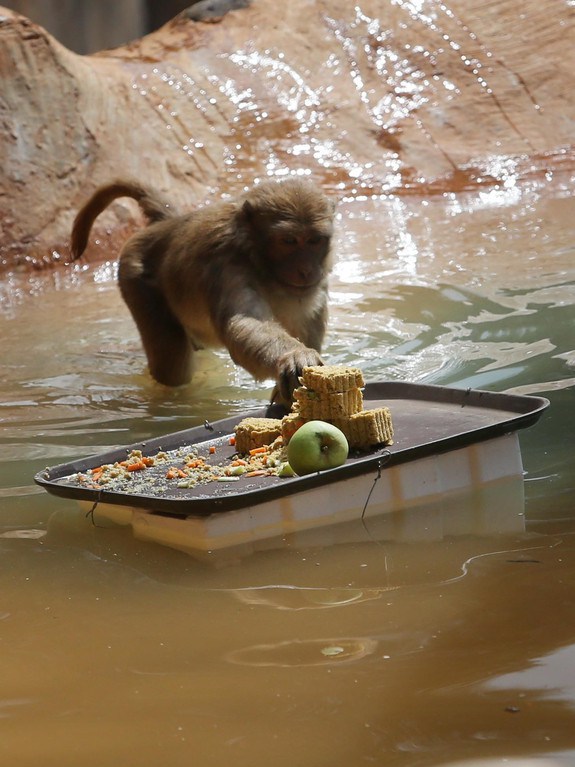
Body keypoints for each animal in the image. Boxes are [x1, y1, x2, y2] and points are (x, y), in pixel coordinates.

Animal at [70, 174, 338, 402]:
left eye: (314, 240)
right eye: (289, 241)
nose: (306, 269)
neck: (257, 259)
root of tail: (168, 224)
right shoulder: (227, 265)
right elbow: (244, 323)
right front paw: (293, 357)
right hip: (135, 277)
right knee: (172, 367)